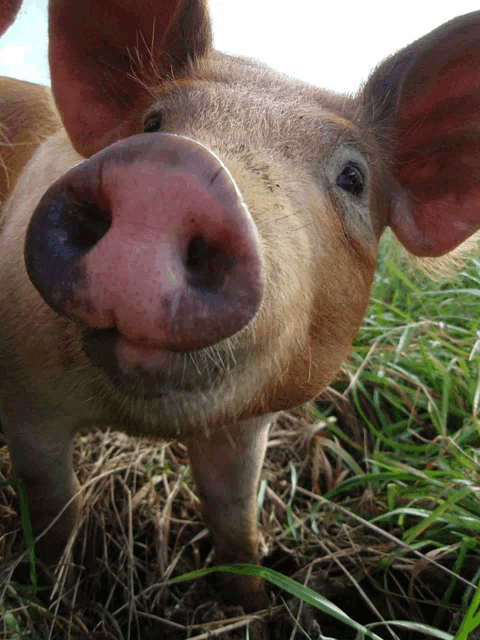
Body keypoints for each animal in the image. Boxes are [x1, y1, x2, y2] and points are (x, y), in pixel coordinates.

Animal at [0, 0, 480, 608]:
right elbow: (53, 506)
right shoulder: (24, 388)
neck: (135, 418)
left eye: (353, 177)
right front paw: (44, 590)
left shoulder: (250, 423)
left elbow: (235, 520)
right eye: (152, 123)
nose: (167, 173)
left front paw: (252, 604)